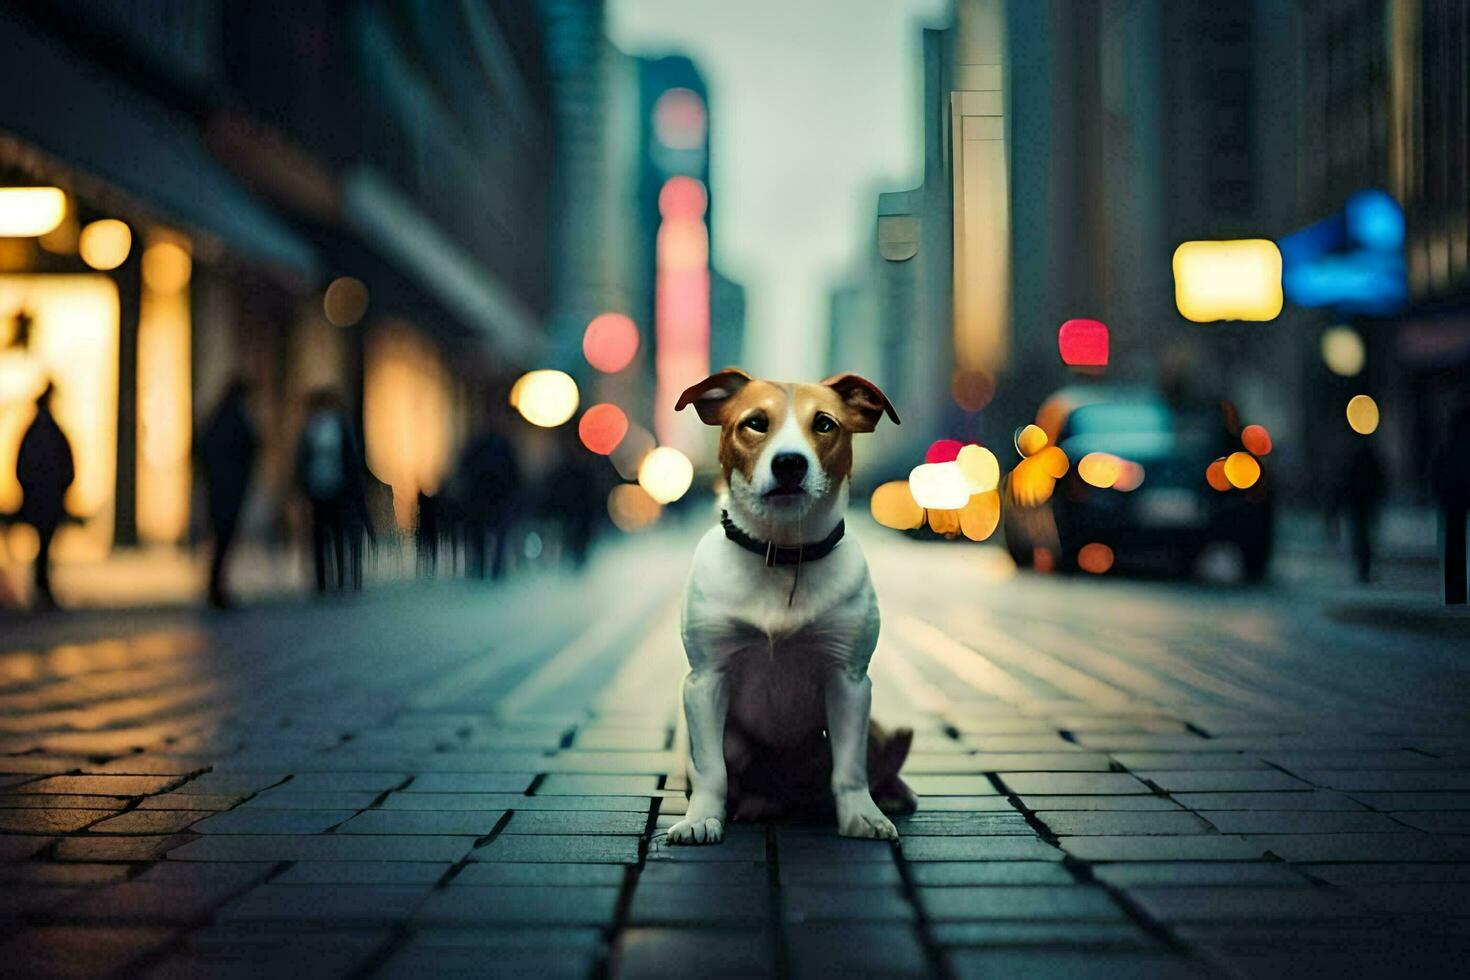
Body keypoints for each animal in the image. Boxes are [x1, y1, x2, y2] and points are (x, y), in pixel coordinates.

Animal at [670, 367, 917, 846]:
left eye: (824, 423)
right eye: (755, 423)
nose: (789, 463)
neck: (783, 552)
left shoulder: (849, 681)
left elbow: (850, 769)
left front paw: (862, 816)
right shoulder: (705, 680)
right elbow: (710, 768)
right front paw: (701, 818)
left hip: (876, 729)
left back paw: (892, 795)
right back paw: (754, 804)